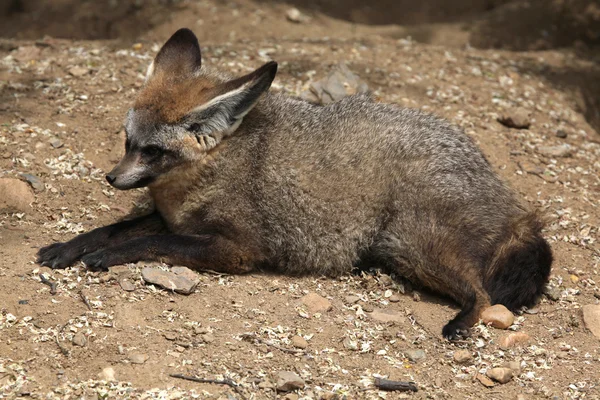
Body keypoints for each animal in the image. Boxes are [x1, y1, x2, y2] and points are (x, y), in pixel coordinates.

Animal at [37, 28, 552, 340]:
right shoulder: (171, 218)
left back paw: (460, 323)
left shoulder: (236, 249)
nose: (112, 177)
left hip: (413, 246)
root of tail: (513, 202)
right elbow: (120, 228)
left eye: (152, 151)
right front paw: (70, 246)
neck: (213, 170)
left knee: (482, 295)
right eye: (128, 142)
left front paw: (105, 255)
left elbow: (148, 242)